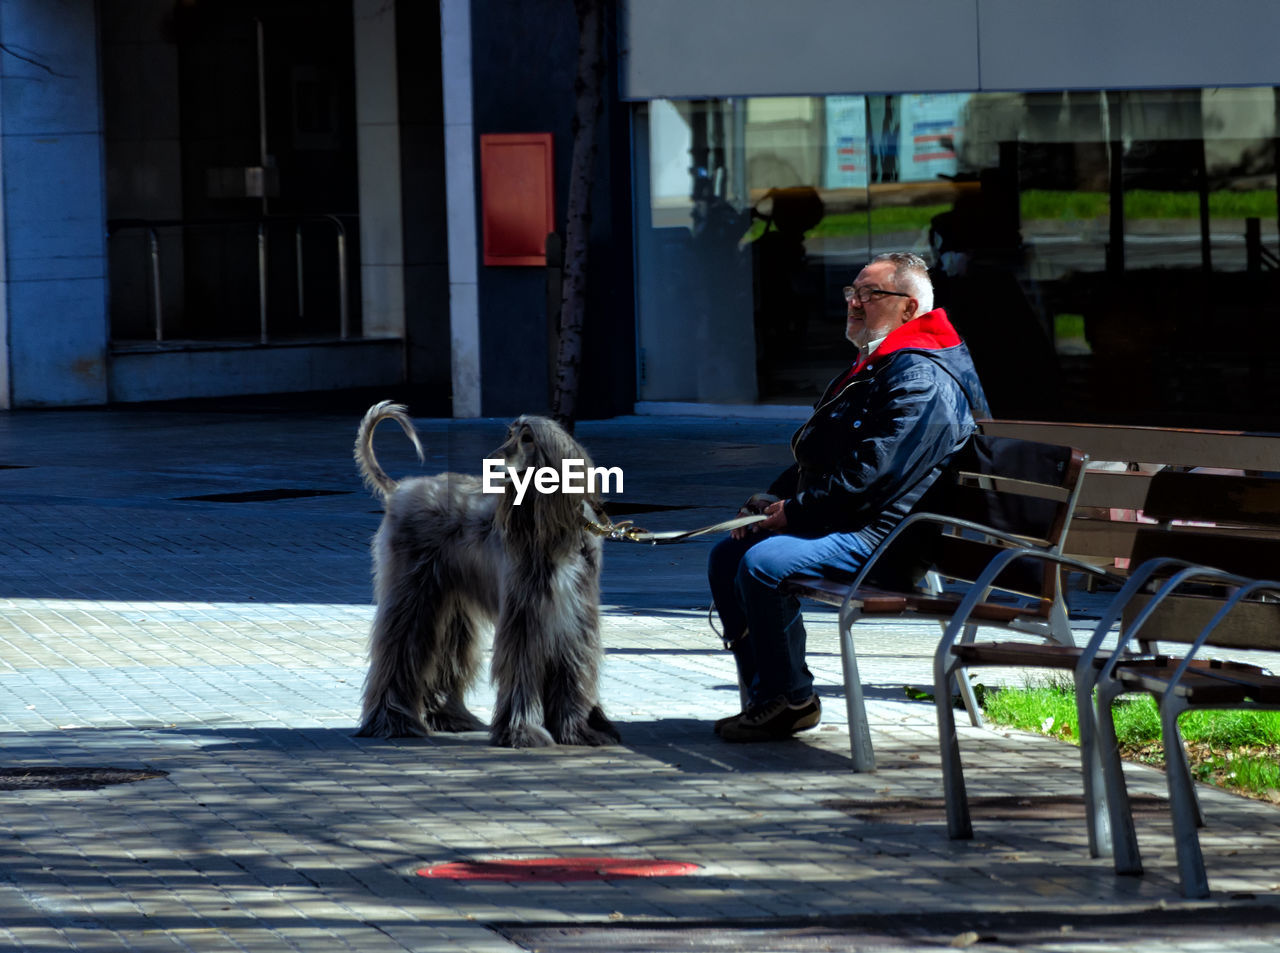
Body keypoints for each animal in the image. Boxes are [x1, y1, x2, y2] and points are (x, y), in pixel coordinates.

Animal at [350, 396, 619, 747]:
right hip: (412, 590)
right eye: (508, 433)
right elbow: (521, 666)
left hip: (451, 602)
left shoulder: (575, 619)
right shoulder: (525, 616)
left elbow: (572, 671)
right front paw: (522, 730)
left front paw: (577, 730)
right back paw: (392, 721)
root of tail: (401, 488)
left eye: (528, 438)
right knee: (399, 647)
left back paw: (449, 718)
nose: (489, 463)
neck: (553, 531)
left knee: (444, 652)